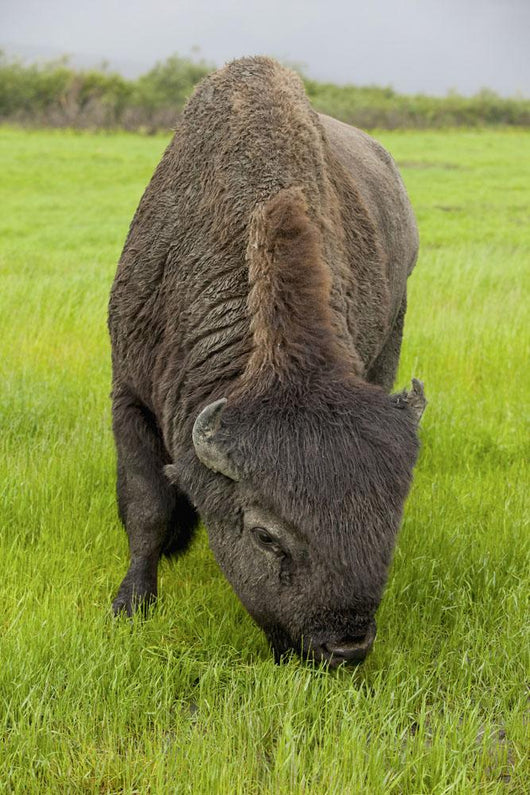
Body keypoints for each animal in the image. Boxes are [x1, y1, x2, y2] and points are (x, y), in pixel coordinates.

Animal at [108, 56, 426, 667]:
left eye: (389, 525)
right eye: (265, 535)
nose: (345, 646)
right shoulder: (128, 393)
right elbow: (146, 506)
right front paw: (130, 605)